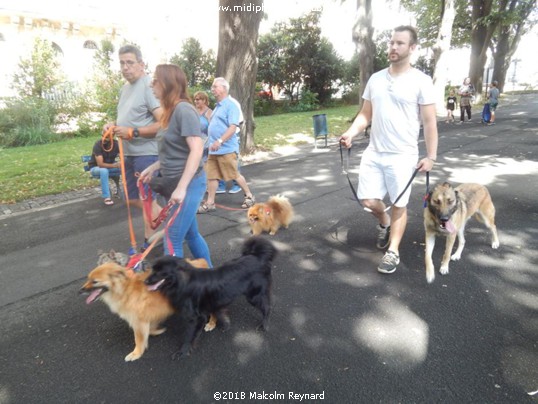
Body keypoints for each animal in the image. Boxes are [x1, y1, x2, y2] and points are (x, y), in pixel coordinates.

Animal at [79, 258, 214, 362]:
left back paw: (211, 324)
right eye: (88, 279)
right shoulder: (146, 317)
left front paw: (136, 354)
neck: (124, 291)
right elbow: (149, 330)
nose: (80, 291)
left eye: (95, 282)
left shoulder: (138, 322)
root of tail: (202, 262)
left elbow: (138, 339)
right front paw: (157, 331)